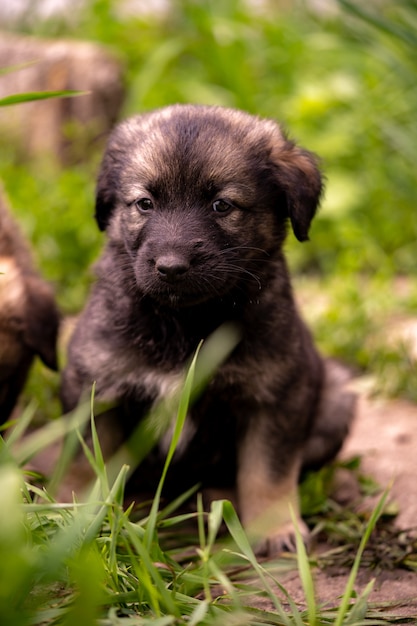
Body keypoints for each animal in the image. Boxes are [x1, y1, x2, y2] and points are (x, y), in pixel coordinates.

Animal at [61, 105, 354, 552]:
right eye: (144, 203)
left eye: (221, 205)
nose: (170, 267)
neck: (184, 322)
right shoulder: (95, 385)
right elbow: (86, 461)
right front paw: (76, 515)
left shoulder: (275, 394)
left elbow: (268, 470)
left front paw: (276, 527)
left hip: (336, 397)